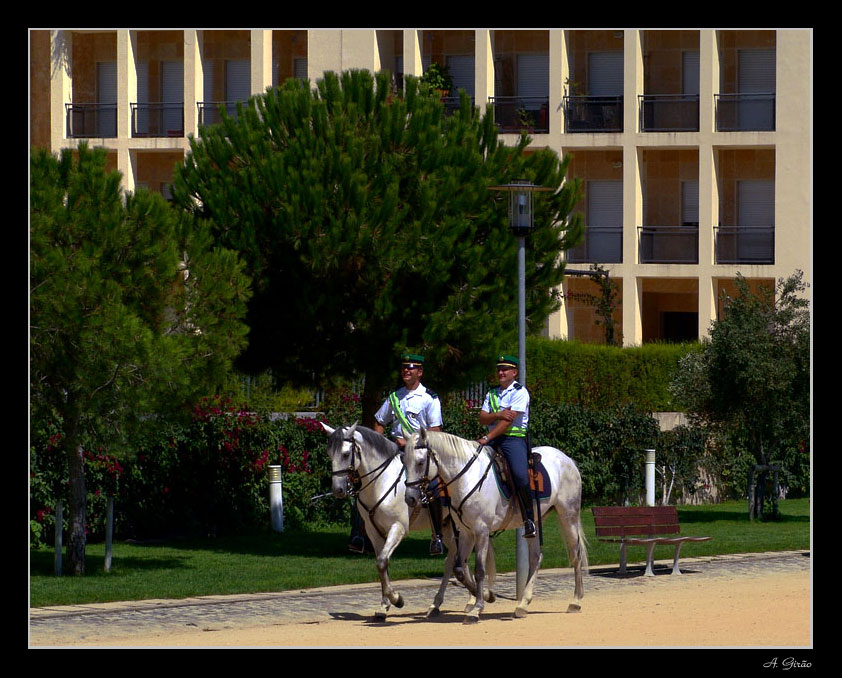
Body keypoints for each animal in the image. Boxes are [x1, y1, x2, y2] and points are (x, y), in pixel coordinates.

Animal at [320, 424, 492, 620]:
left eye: (346, 454)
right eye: (329, 453)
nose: (338, 489)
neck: (381, 482)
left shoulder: (398, 527)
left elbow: (382, 562)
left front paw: (396, 599)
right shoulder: (374, 532)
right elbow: (382, 565)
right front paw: (384, 605)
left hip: (462, 528)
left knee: (460, 560)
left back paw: (473, 600)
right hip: (449, 528)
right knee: (453, 561)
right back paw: (440, 604)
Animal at [404, 432, 588, 624]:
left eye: (420, 462)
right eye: (404, 461)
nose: (409, 498)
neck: (467, 478)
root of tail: (567, 459)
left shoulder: (481, 531)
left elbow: (479, 570)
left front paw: (477, 608)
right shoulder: (466, 533)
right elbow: (459, 569)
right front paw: (486, 596)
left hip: (568, 516)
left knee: (576, 555)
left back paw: (575, 601)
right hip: (535, 522)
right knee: (536, 557)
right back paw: (523, 604)